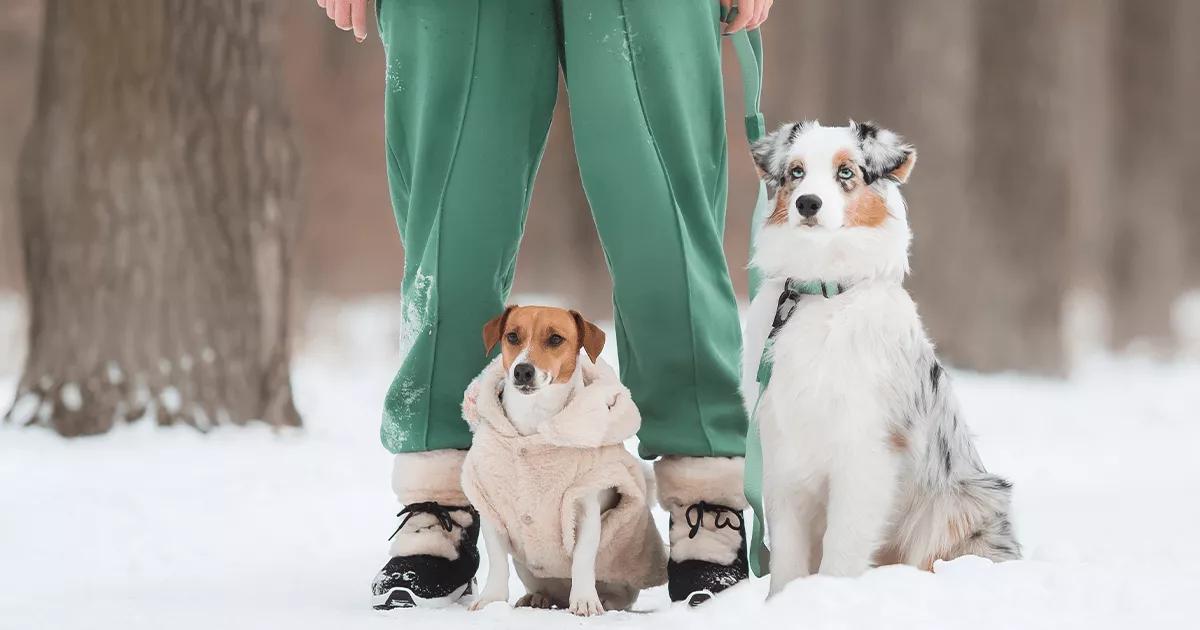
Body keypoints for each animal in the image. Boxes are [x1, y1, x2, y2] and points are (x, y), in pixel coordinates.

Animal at [744, 119, 1017, 595]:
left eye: (846, 172)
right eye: (796, 171)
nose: (807, 203)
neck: (822, 291)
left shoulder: (866, 448)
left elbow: (843, 544)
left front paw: (828, 596)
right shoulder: (782, 449)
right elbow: (787, 554)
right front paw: (784, 601)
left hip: (960, 505)